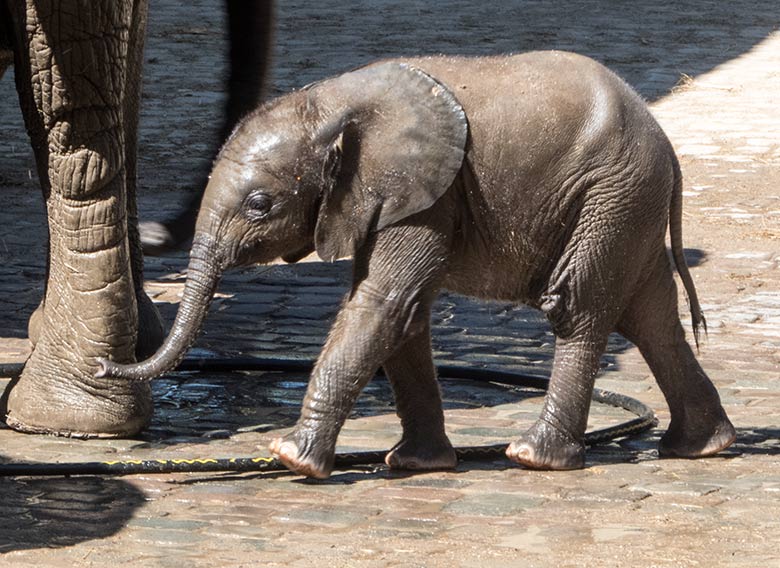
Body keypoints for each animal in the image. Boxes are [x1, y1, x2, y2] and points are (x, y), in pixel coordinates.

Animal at [99, 52, 736, 480]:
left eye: (260, 205)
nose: (108, 365)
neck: (333, 104)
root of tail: (667, 147)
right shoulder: (382, 200)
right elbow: (403, 317)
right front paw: (415, 464)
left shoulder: (428, 193)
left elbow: (382, 303)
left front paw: (291, 459)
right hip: (629, 204)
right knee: (651, 320)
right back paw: (702, 447)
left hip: (611, 195)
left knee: (578, 308)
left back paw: (534, 457)